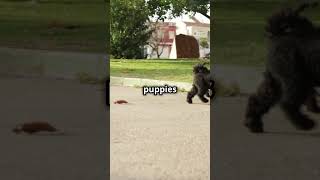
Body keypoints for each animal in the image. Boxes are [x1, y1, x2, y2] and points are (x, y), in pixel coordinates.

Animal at [245, 1, 320, 134]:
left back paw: (253, 124)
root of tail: (277, 35)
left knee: (259, 99)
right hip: (295, 78)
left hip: (275, 80)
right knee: (287, 104)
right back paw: (305, 124)